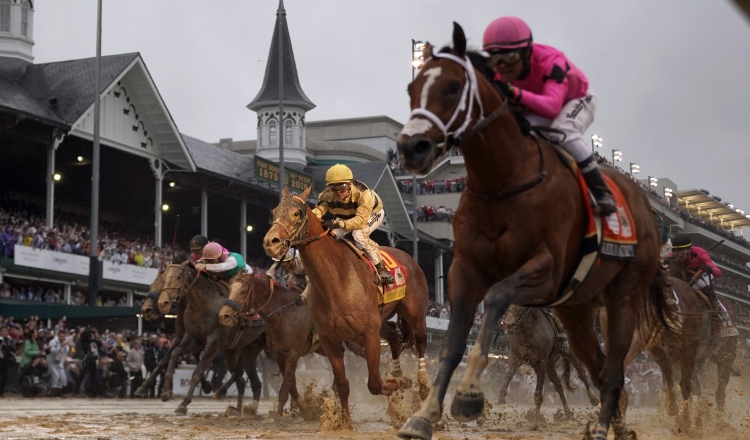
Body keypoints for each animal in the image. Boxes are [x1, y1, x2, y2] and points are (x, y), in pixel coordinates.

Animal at [262, 186, 428, 426]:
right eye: (273, 212)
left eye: (297, 213)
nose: (271, 242)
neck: (336, 280)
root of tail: (409, 258)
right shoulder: (329, 339)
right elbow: (342, 384)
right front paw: (345, 423)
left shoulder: (369, 334)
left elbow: (375, 384)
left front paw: (400, 383)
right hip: (382, 320)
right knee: (395, 339)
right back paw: (398, 374)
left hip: (415, 315)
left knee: (421, 342)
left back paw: (422, 385)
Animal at [396, 24, 672, 440]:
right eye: (412, 89)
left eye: (453, 87)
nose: (412, 147)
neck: (505, 181)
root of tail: (645, 208)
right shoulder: (466, 268)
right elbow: (454, 344)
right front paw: (424, 416)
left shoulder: (546, 269)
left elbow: (496, 299)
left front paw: (470, 396)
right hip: (576, 311)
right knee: (597, 366)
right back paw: (617, 425)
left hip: (623, 296)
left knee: (612, 369)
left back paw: (602, 426)